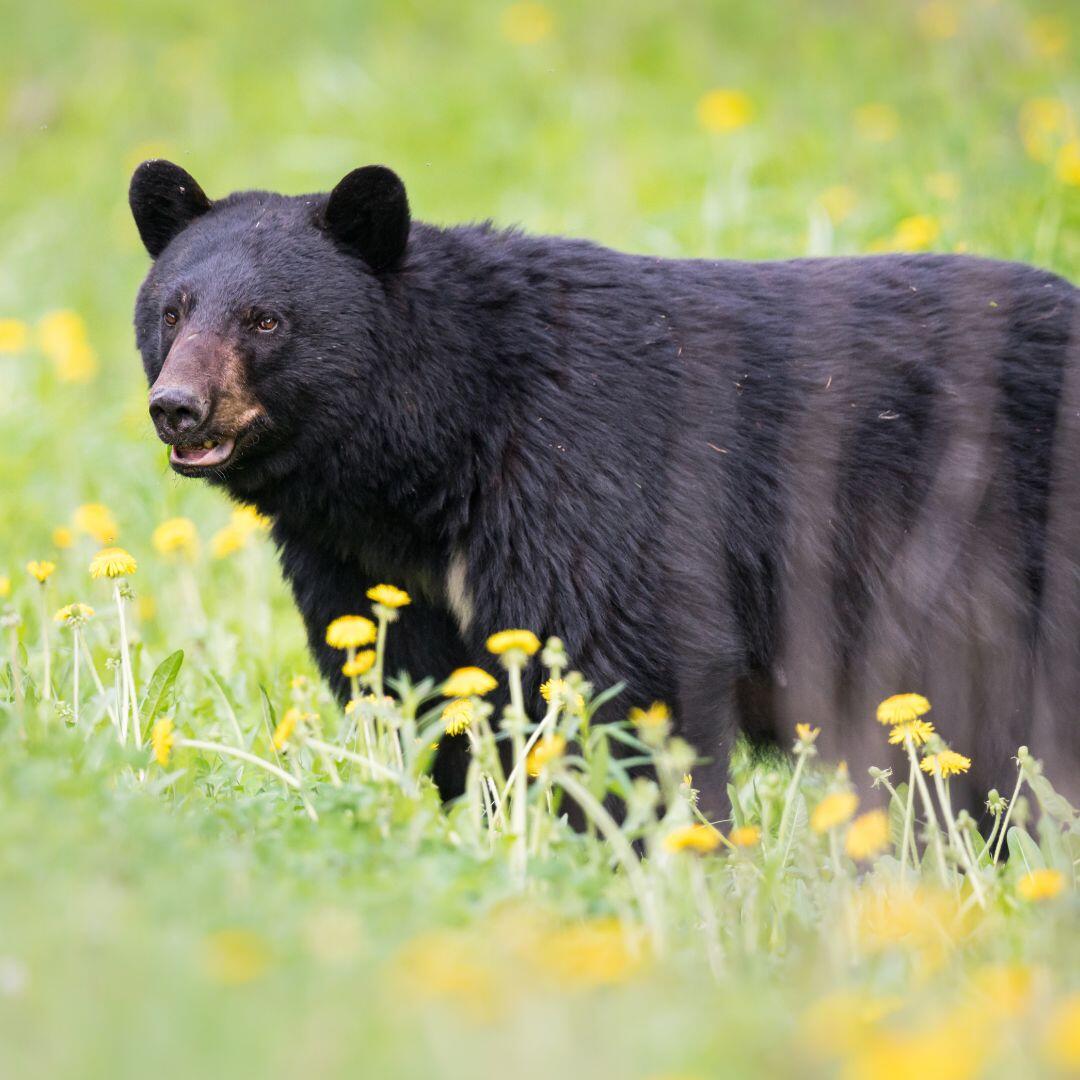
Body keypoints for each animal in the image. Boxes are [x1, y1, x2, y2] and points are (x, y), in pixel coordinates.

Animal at [129, 159, 1080, 813]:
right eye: (172, 310)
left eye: (266, 320)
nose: (178, 408)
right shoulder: (368, 565)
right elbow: (420, 685)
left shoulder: (589, 475)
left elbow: (631, 666)